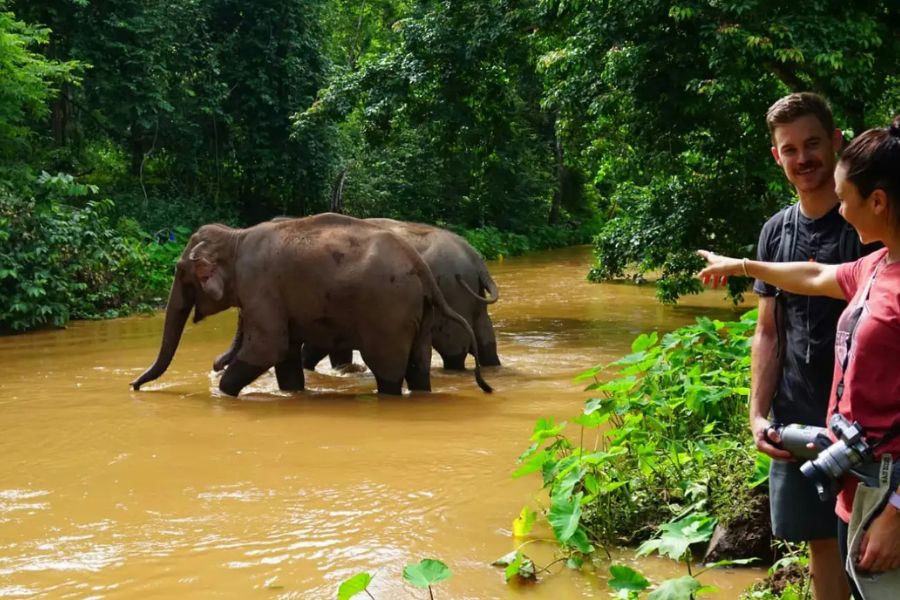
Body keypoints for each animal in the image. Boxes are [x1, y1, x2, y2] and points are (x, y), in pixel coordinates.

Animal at [214, 218, 502, 372]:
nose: (216, 366)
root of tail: (476, 259)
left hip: (452, 291)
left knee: (454, 348)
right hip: (469, 300)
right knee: (485, 340)